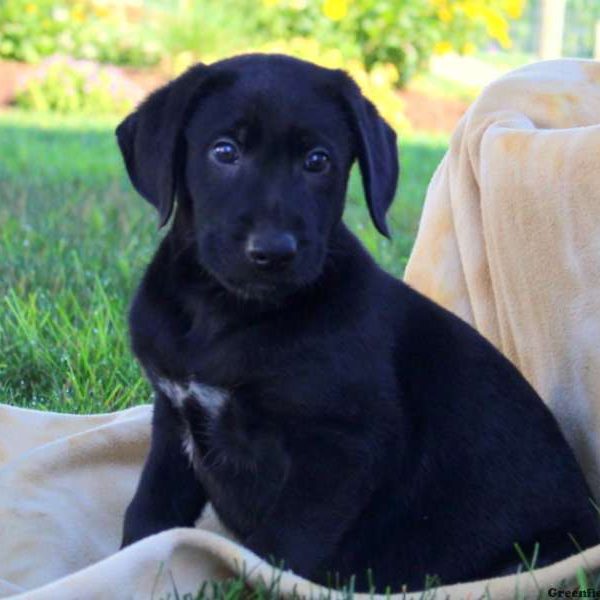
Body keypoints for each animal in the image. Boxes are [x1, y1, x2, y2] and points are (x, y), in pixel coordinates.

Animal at [116, 55, 596, 592]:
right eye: (224, 152)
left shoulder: (341, 448)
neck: (226, 312)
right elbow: (150, 510)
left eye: (318, 161)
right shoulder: (173, 413)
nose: (273, 252)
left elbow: (277, 553)